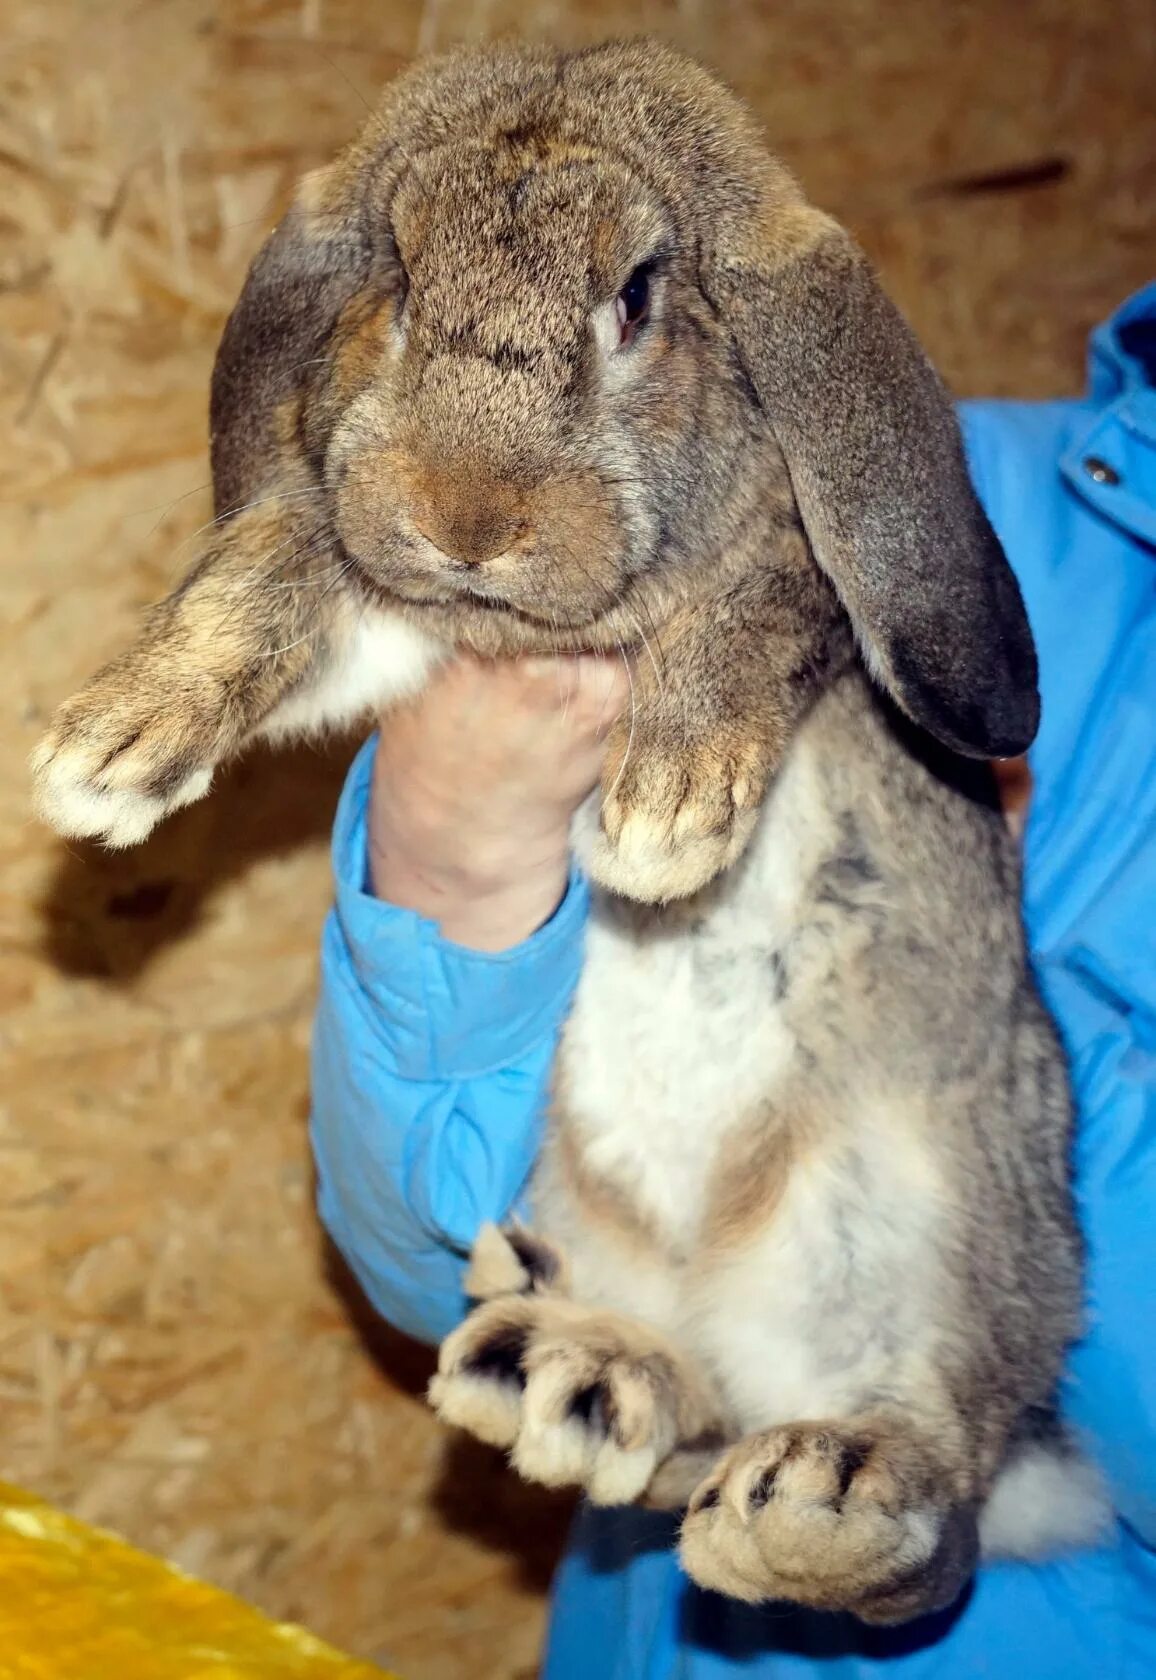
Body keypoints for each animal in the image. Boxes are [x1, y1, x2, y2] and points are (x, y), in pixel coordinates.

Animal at [31, 36, 1108, 1612]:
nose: (466, 521)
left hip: (952, 1222)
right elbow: (265, 571)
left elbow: (760, 602)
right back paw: (577, 1375)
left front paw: (664, 812)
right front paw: (109, 748)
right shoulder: (368, 595)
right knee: (682, 1446)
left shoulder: (786, 580)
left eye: (642, 296)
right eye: (397, 283)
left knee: (936, 1491)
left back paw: (825, 1496)